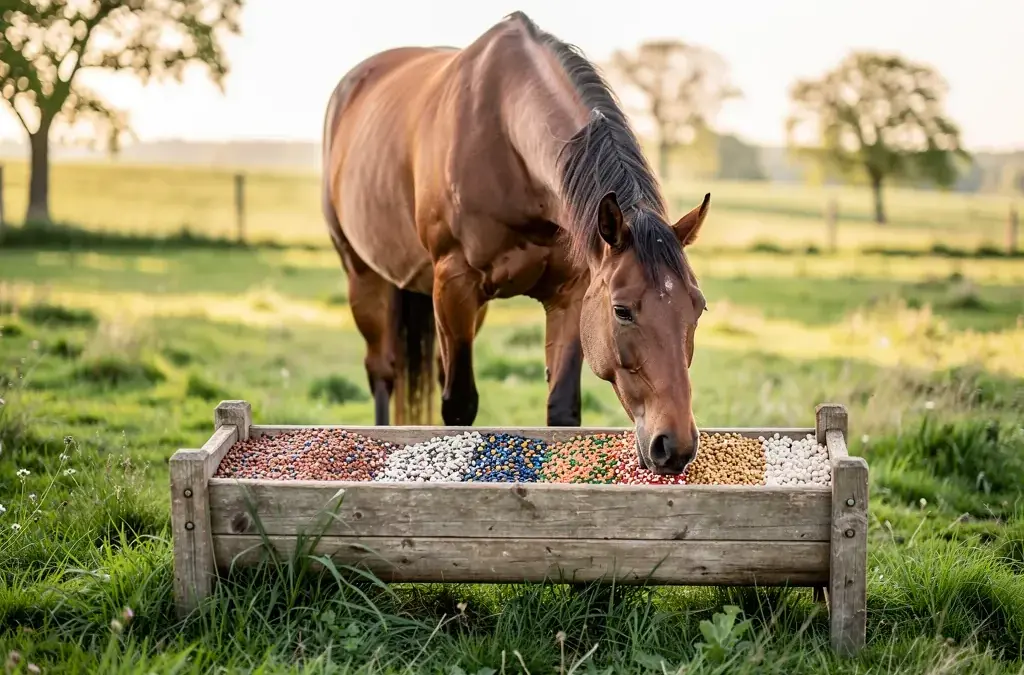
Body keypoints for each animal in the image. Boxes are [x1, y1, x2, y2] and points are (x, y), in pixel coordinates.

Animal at [321, 12, 711, 474]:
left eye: (698, 307)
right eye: (622, 311)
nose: (676, 446)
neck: (505, 138)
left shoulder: (571, 296)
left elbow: (561, 409)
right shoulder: (454, 285)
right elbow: (459, 406)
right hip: (364, 278)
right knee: (383, 372)